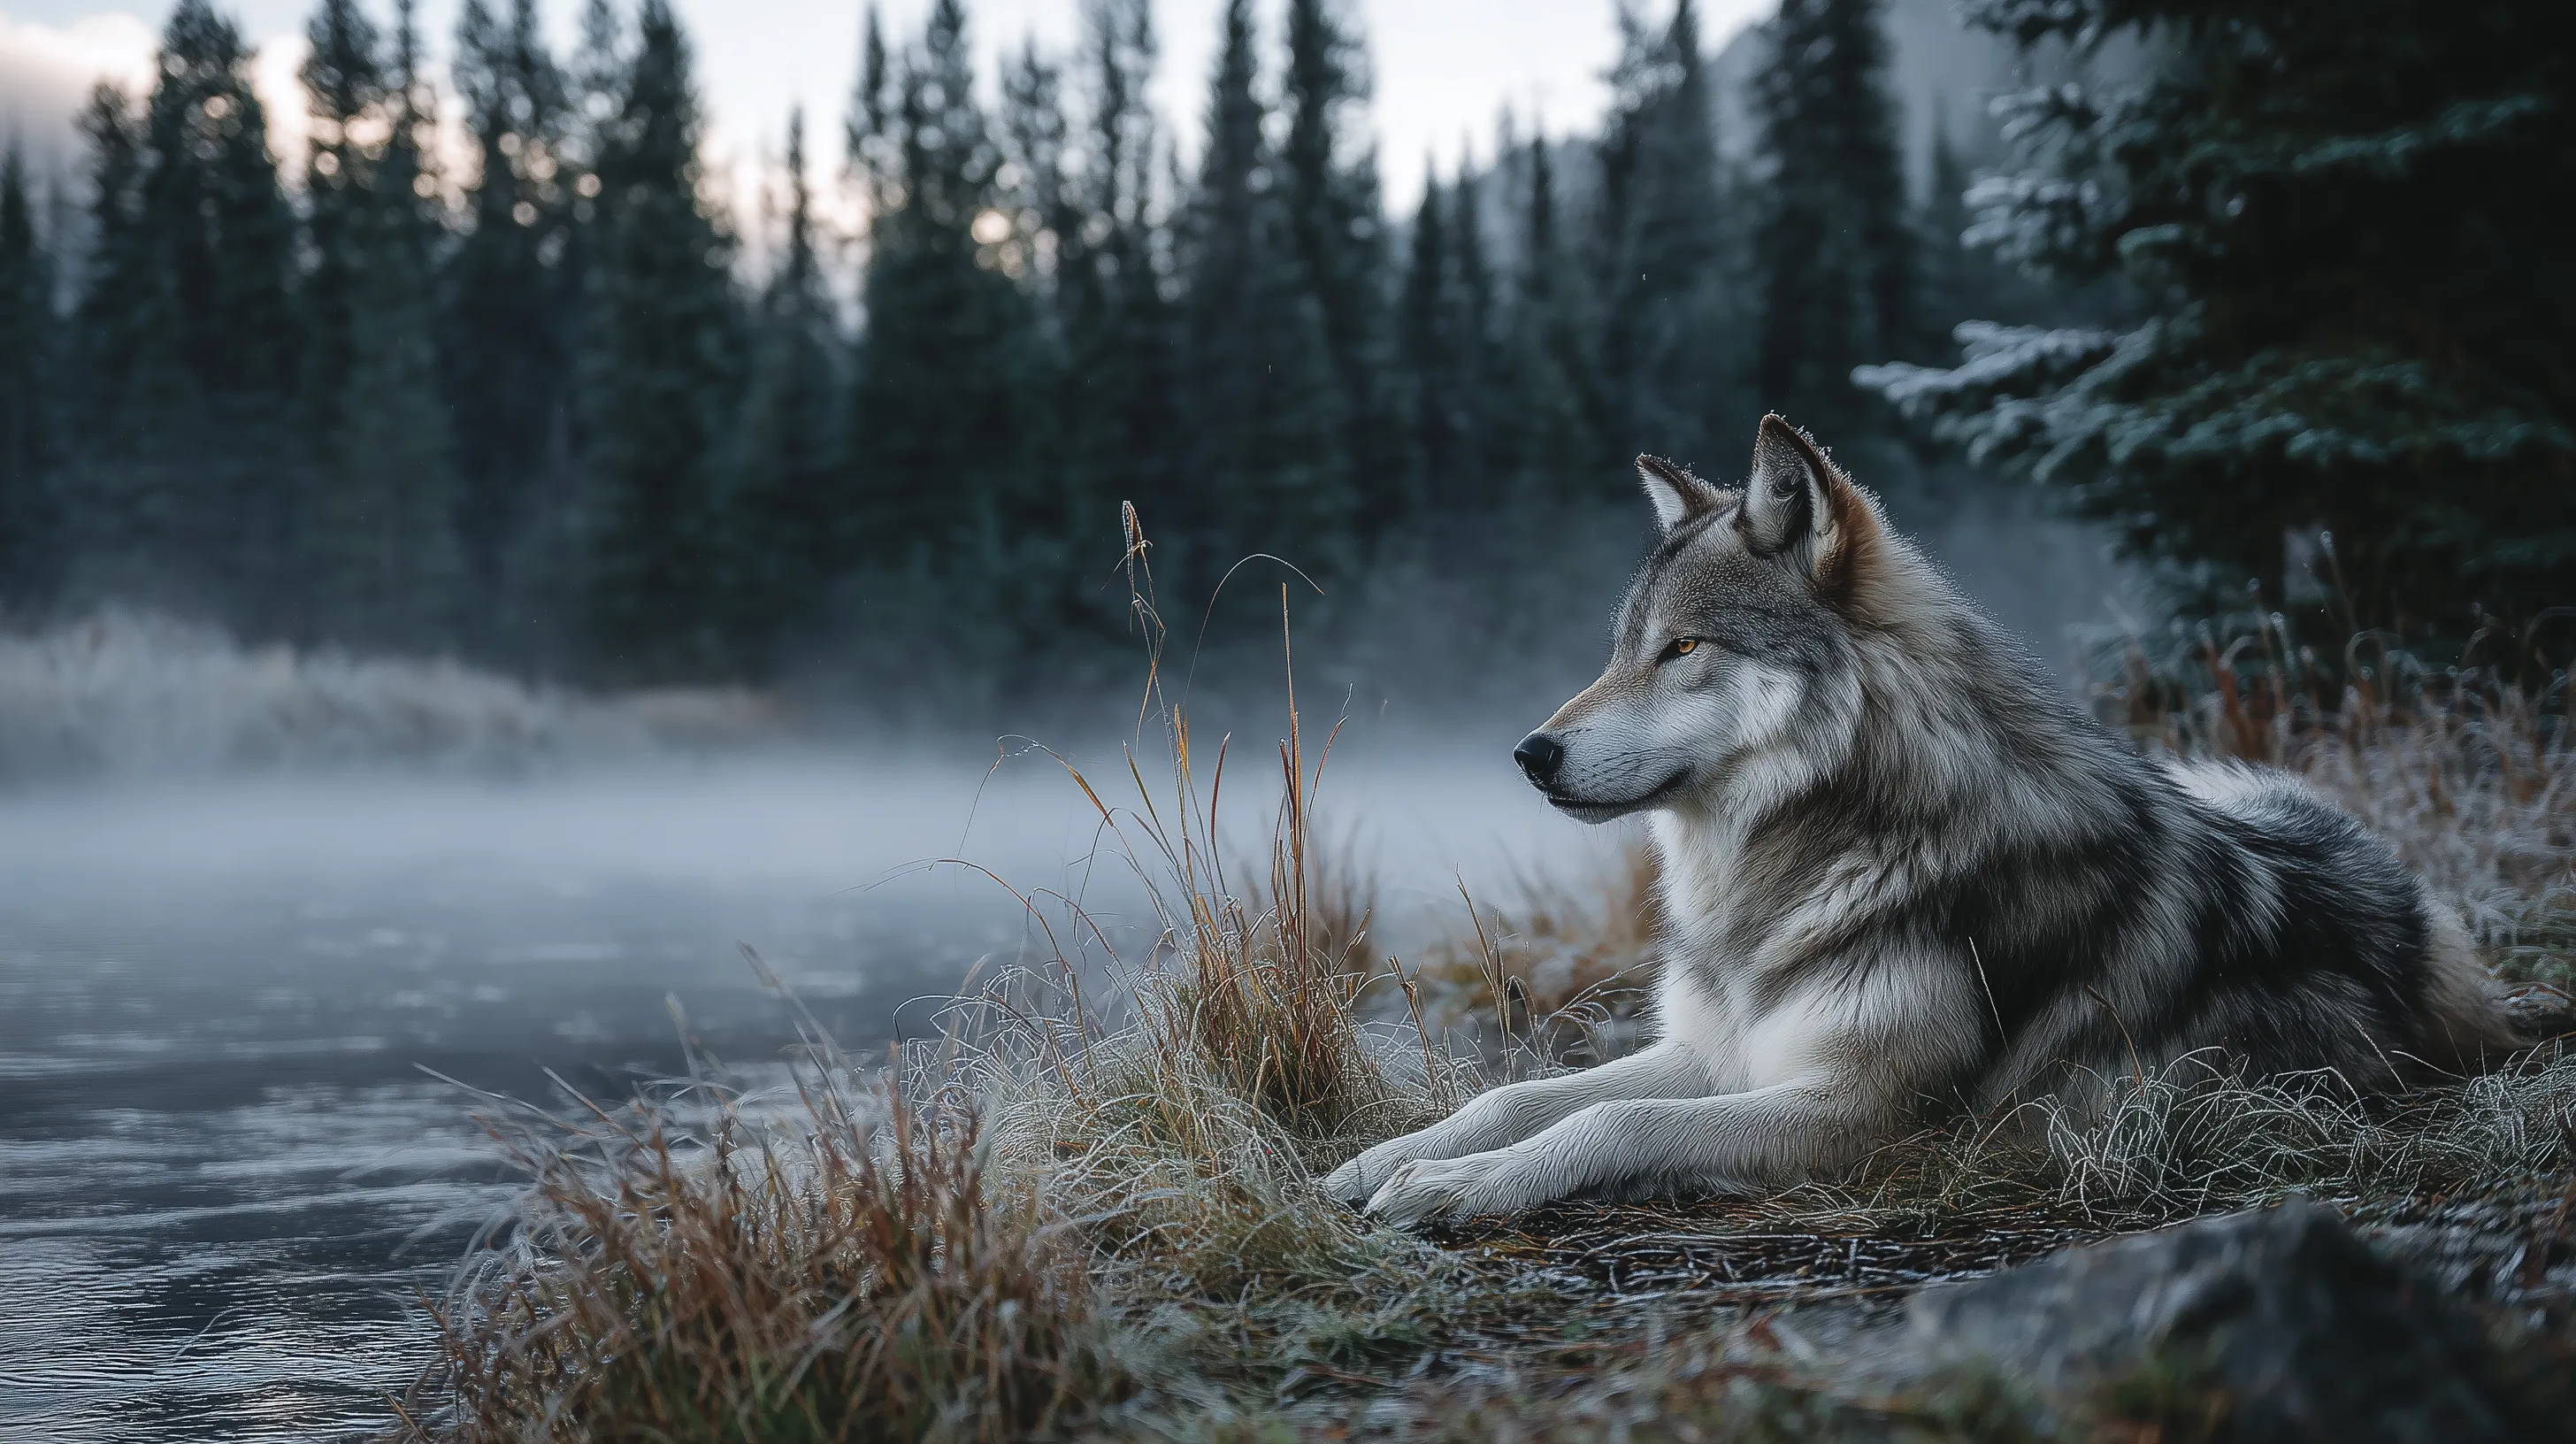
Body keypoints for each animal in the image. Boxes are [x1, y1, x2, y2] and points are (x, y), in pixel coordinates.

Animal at [1327, 414, 2523, 1229]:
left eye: (1682, 649)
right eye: (1623, 650)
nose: (1527, 754)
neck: (1806, 862)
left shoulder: (1861, 1113)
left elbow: (1608, 1122)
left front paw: (1456, 1186)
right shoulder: (1721, 1051)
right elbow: (1519, 1093)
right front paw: (1387, 1159)